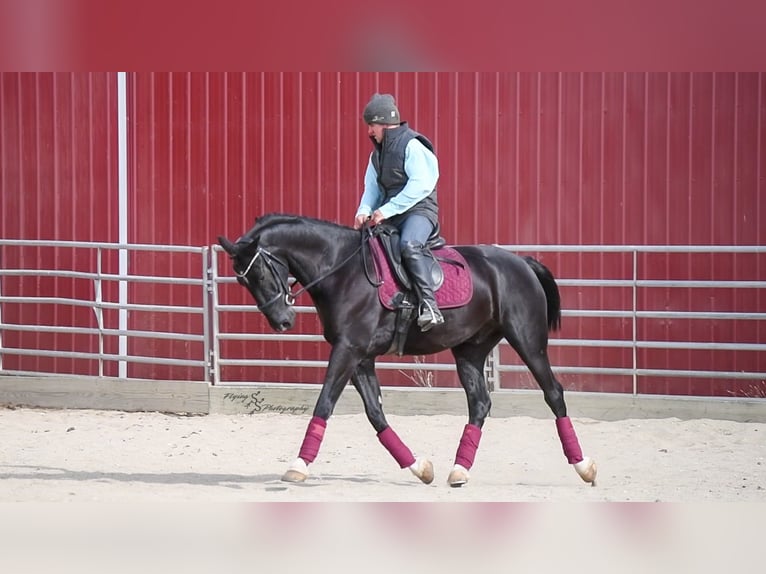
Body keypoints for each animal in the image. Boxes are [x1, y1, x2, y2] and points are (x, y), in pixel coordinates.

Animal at [218, 213, 597, 488]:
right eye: (242, 280)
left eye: (261, 272)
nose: (282, 321)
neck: (342, 270)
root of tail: (521, 263)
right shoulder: (360, 358)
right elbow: (375, 414)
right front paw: (419, 467)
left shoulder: (348, 350)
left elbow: (324, 403)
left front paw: (298, 466)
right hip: (470, 351)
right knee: (479, 403)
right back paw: (459, 471)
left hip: (528, 341)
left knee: (553, 393)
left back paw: (583, 467)